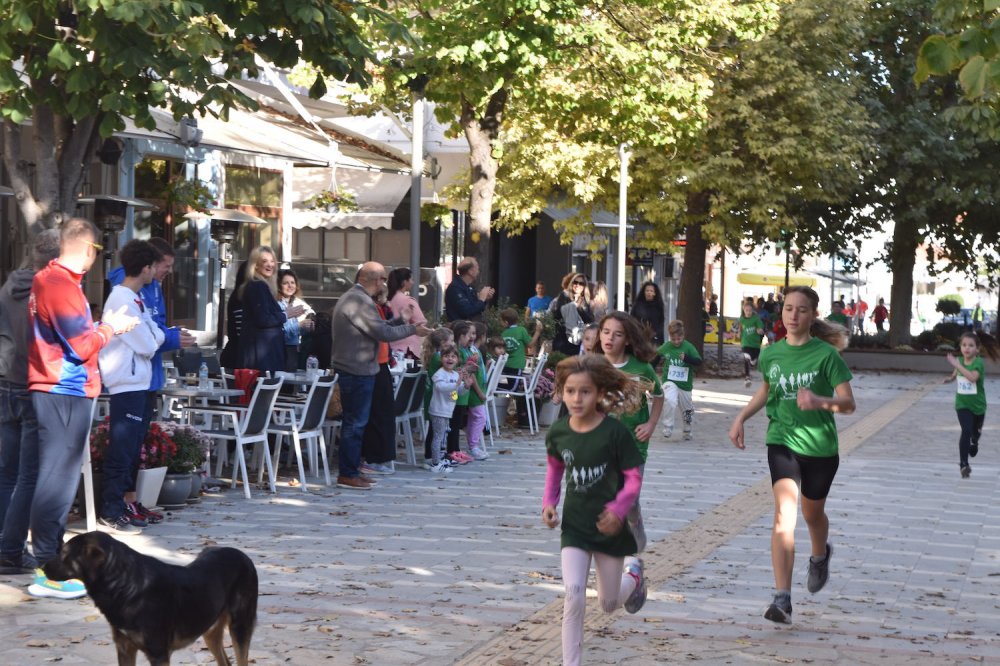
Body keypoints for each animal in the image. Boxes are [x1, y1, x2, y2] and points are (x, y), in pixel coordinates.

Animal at [43, 528, 258, 664]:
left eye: (64, 553)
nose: (42, 567)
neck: (125, 585)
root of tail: (243, 556)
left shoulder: (158, 654)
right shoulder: (124, 648)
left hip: (240, 626)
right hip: (210, 630)